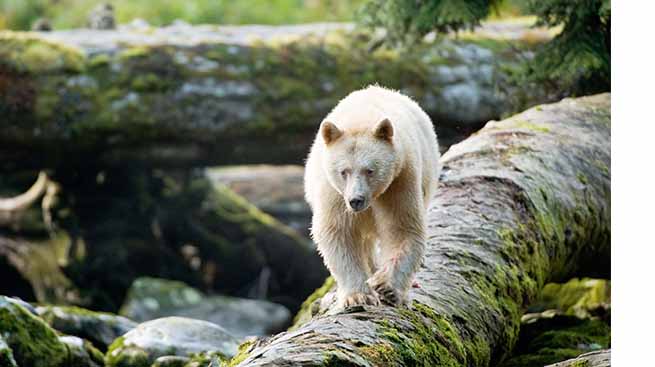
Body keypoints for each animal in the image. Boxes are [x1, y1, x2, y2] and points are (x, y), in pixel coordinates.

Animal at [306, 86, 440, 308]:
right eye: (344, 171)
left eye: (370, 170)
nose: (356, 200)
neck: (362, 118)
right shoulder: (334, 192)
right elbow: (338, 231)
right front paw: (358, 296)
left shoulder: (400, 181)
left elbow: (402, 227)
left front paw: (386, 286)